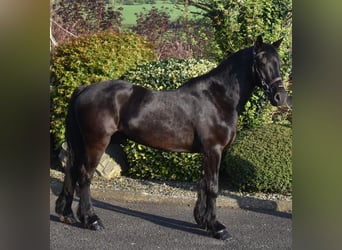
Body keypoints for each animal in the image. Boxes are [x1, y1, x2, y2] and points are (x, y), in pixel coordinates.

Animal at [55, 35, 292, 240]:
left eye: (278, 62)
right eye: (261, 61)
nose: (280, 97)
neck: (217, 99)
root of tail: (84, 88)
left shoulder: (206, 153)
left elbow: (203, 184)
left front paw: (202, 221)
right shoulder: (214, 150)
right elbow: (213, 187)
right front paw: (217, 227)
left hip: (82, 143)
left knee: (72, 172)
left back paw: (67, 213)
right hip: (96, 142)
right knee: (85, 176)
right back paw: (91, 219)